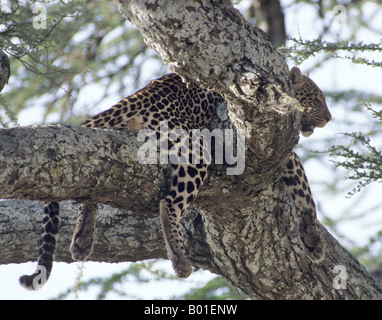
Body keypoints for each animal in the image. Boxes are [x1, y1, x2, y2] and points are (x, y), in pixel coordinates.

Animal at [19, 67, 332, 290]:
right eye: (316, 97)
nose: (329, 118)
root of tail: (135, 98)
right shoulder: (274, 148)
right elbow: (304, 188)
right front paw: (315, 242)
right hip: (195, 149)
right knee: (168, 202)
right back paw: (180, 259)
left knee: (95, 183)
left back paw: (83, 239)